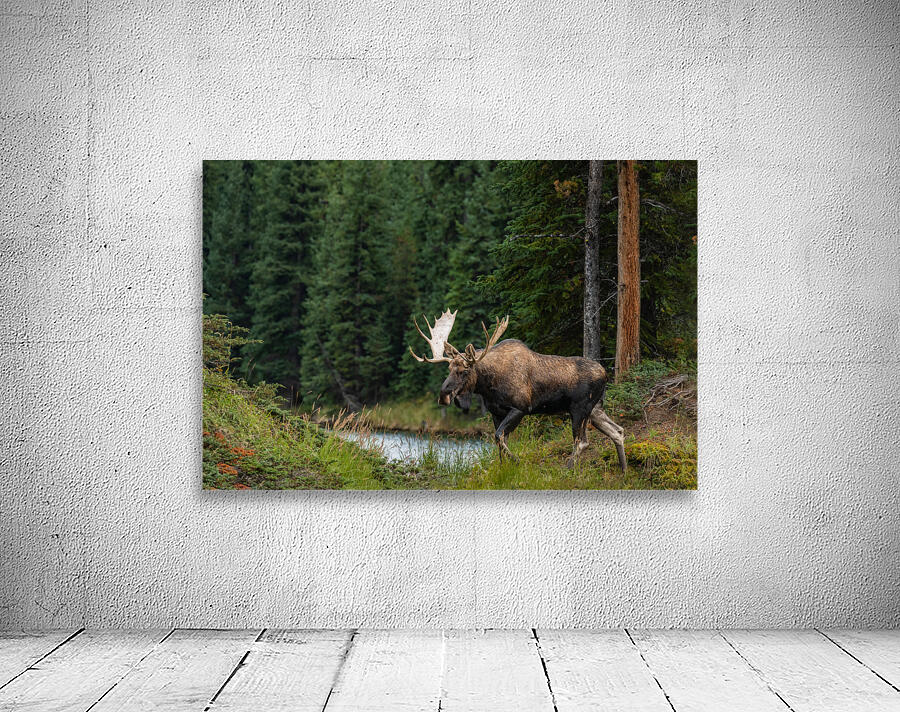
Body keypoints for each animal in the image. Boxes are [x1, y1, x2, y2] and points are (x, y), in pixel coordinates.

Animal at [409, 310, 626, 472]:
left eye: (464, 370)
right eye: (448, 369)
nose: (443, 396)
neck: (487, 386)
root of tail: (605, 374)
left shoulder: (520, 408)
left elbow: (499, 437)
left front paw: (518, 462)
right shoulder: (496, 412)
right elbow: (499, 442)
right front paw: (504, 469)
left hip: (580, 409)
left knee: (582, 442)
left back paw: (568, 468)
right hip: (596, 409)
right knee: (617, 431)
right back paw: (623, 471)